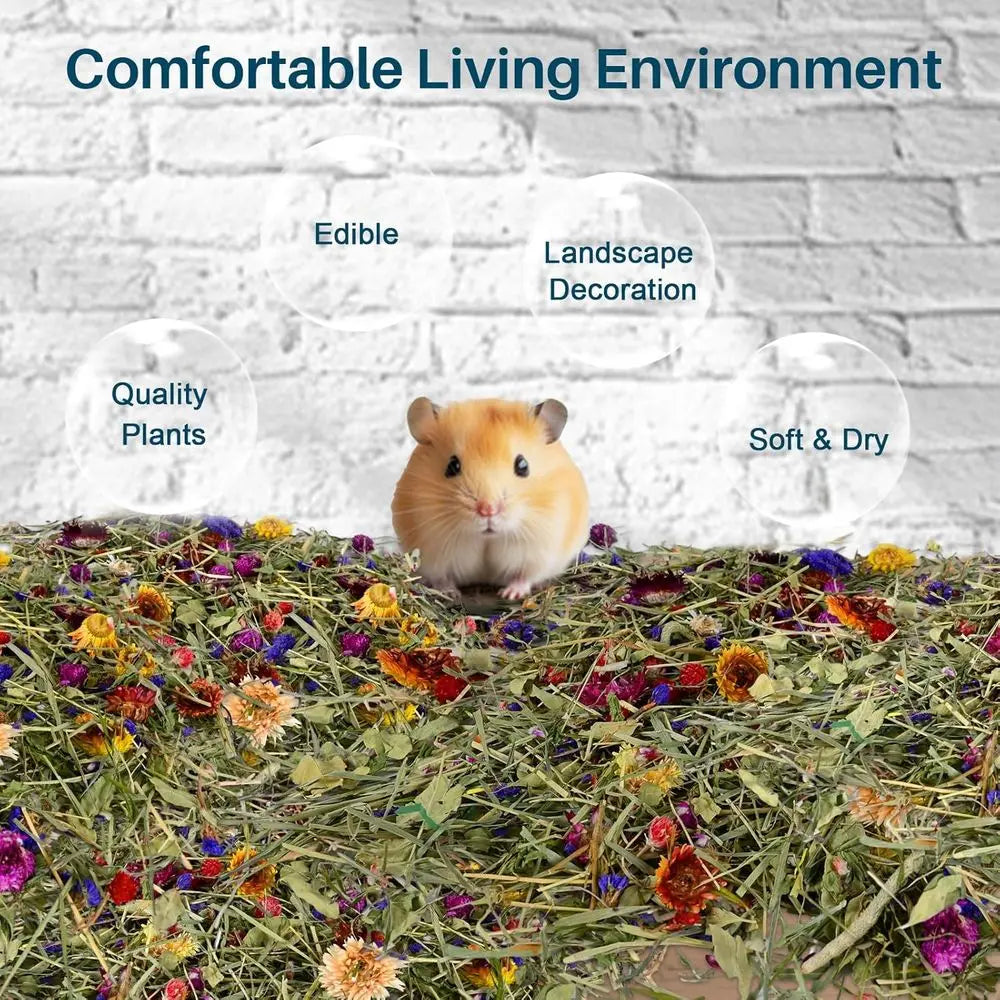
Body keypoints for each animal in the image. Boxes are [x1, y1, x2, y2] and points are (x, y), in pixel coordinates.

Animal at [392, 397, 589, 600]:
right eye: (452, 466)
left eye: (523, 465)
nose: (488, 510)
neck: (487, 538)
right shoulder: (433, 556)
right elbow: (442, 578)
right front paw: (451, 593)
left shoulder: (540, 552)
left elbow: (524, 576)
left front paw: (509, 594)